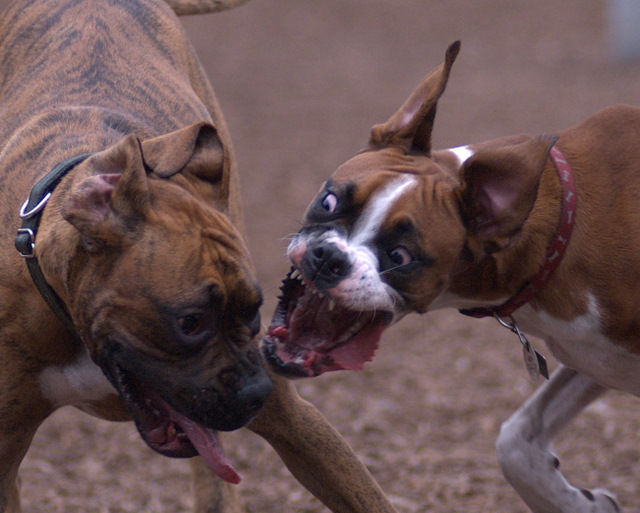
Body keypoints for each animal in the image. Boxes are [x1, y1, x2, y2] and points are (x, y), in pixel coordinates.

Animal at [262, 40, 640, 512]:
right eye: (329, 201)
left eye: (400, 256)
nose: (327, 257)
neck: (563, 228)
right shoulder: (593, 358)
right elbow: (515, 441)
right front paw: (578, 504)